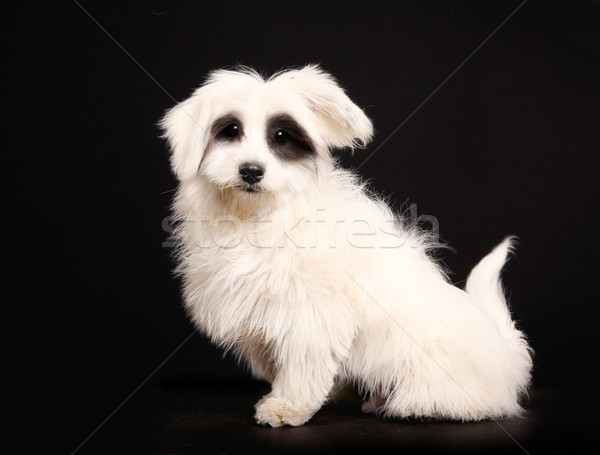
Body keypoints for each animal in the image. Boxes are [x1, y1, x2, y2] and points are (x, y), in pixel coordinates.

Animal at [162, 64, 532, 428]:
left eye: (281, 137)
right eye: (230, 130)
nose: (251, 171)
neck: (259, 216)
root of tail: (505, 359)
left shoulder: (311, 315)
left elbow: (302, 364)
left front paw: (287, 406)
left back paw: (420, 406)